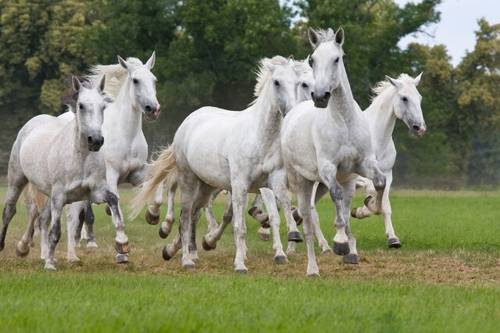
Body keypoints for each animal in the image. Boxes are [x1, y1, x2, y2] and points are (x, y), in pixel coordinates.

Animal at [0, 76, 120, 270]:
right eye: (81, 105)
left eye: (103, 106)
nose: (95, 140)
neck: (80, 158)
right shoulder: (59, 196)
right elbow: (55, 231)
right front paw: (49, 265)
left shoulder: (94, 193)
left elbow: (112, 201)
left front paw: (122, 244)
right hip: (17, 180)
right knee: (10, 211)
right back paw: (11, 247)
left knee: (42, 218)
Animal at [132, 55, 304, 272]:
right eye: (276, 82)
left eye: (298, 83)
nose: (291, 111)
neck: (259, 137)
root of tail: (189, 120)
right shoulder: (239, 186)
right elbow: (239, 226)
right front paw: (240, 264)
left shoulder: (273, 182)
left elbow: (280, 210)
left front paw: (289, 241)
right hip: (188, 180)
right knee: (185, 215)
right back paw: (186, 258)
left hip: (206, 186)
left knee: (193, 214)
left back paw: (174, 250)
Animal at [282, 27, 386, 274]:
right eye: (312, 59)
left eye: (337, 59)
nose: (320, 97)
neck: (344, 121)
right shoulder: (328, 168)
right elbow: (336, 195)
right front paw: (340, 243)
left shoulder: (363, 164)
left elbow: (380, 182)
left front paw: (369, 208)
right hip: (302, 181)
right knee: (306, 220)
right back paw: (312, 268)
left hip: (324, 183)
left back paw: (350, 251)